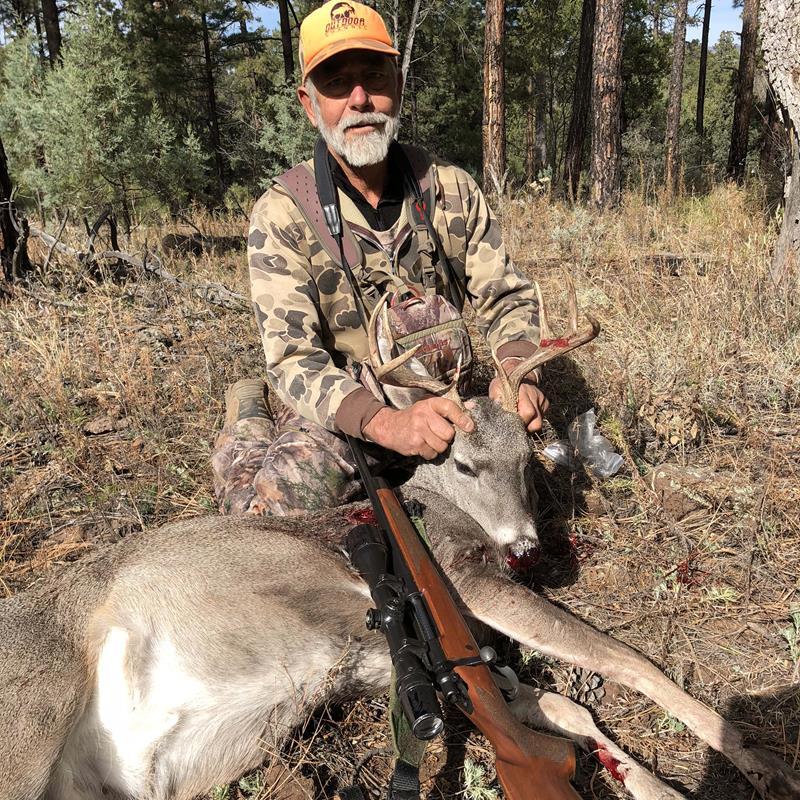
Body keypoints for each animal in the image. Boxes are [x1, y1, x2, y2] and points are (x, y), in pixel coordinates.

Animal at [1, 283, 798, 800]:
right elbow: (628, 661)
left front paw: (656, 785)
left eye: (527, 459)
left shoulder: (452, 666)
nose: (526, 547)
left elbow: (568, 709)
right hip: (30, 716)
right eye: (465, 463)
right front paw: (760, 761)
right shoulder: (467, 578)